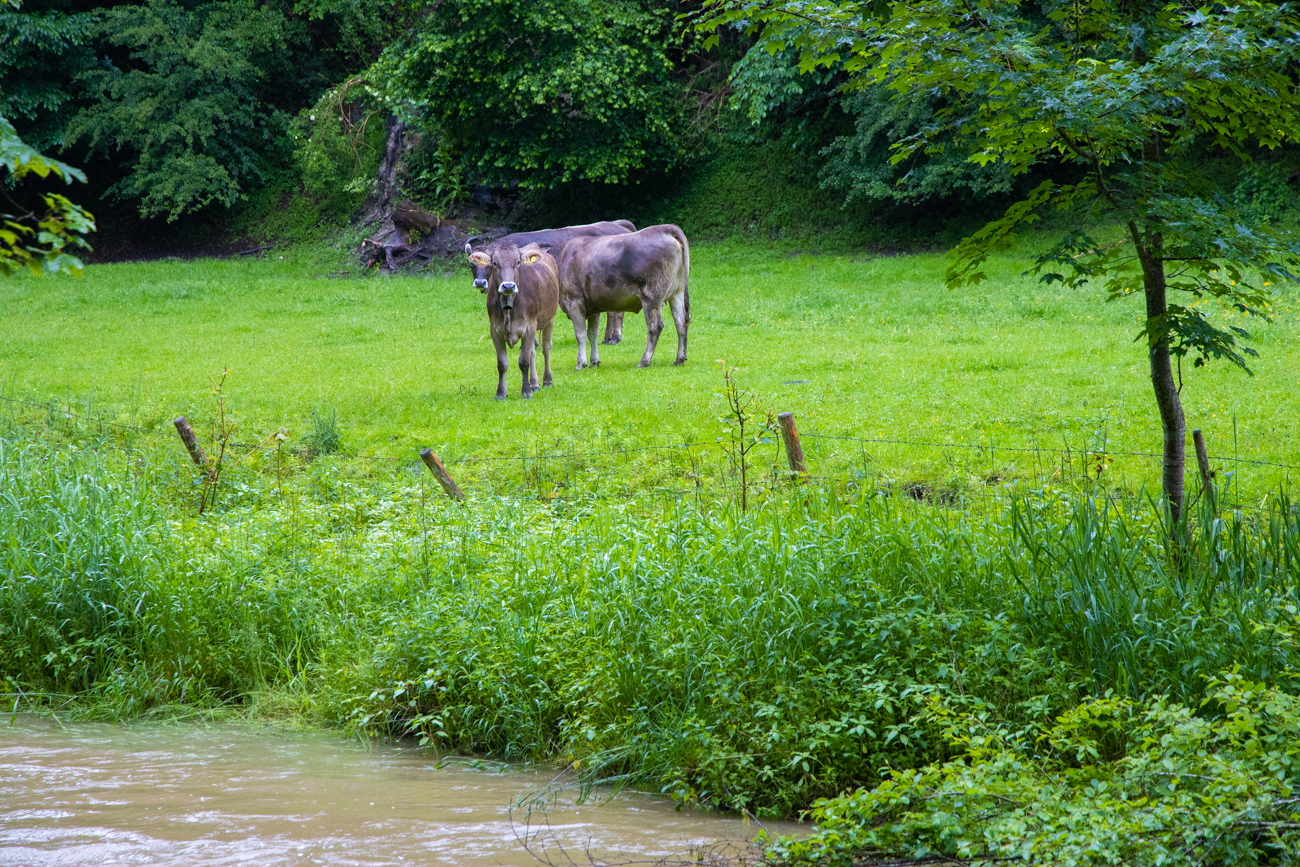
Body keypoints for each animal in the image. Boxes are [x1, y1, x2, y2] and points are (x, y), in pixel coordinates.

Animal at [473, 243, 564, 402]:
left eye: (518, 262)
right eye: (495, 263)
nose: (508, 286)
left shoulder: (529, 328)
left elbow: (524, 362)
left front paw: (526, 392)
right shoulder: (495, 330)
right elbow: (502, 363)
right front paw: (500, 393)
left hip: (549, 319)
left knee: (546, 348)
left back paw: (547, 380)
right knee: (533, 352)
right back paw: (534, 383)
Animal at [556, 223, 691, 369]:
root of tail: (666, 228)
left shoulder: (574, 301)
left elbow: (580, 334)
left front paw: (581, 363)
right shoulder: (593, 307)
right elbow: (592, 334)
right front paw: (594, 361)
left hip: (651, 296)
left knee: (655, 326)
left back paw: (644, 361)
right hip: (677, 293)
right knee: (681, 323)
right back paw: (679, 359)